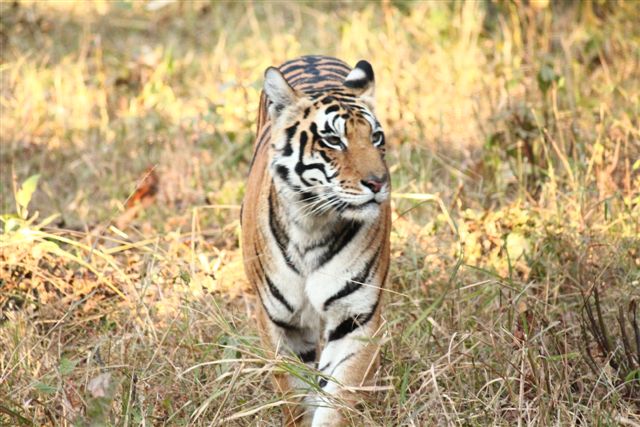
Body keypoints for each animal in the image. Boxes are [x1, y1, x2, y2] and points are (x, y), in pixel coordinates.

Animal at [240, 55, 390, 426]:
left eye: (376, 137)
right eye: (334, 140)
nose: (378, 183)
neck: (313, 225)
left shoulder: (355, 318)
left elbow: (336, 400)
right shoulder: (280, 323)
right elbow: (295, 393)